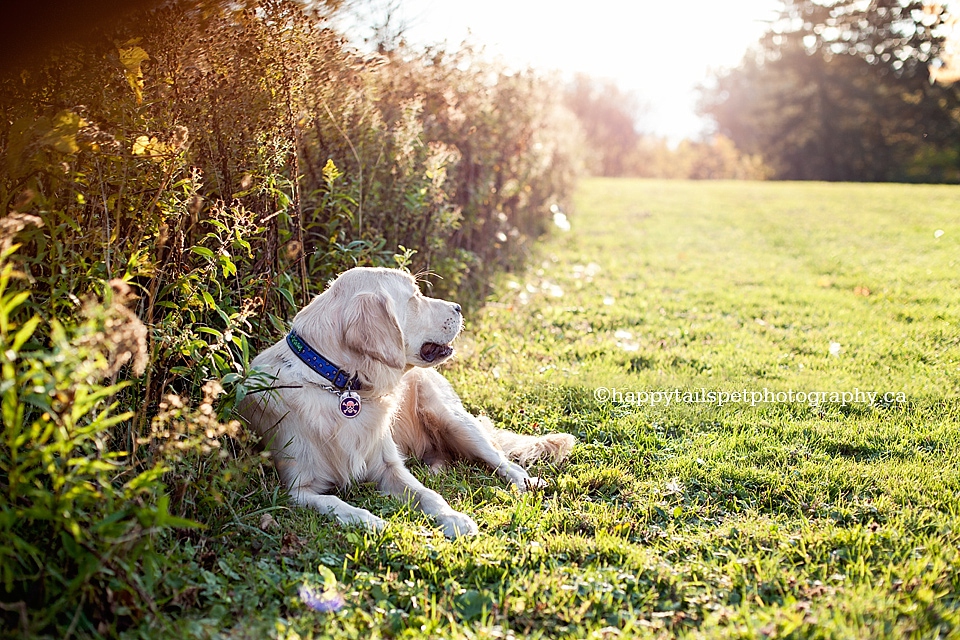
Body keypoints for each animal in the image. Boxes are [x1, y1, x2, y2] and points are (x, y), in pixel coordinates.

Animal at [240, 268, 572, 536]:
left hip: (454, 420)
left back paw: (526, 482)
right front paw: (374, 523)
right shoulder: (297, 490)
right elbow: (336, 503)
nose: (458, 307)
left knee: (502, 460)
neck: (337, 383)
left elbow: (429, 495)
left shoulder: (389, 467)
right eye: (414, 298)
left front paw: (454, 518)